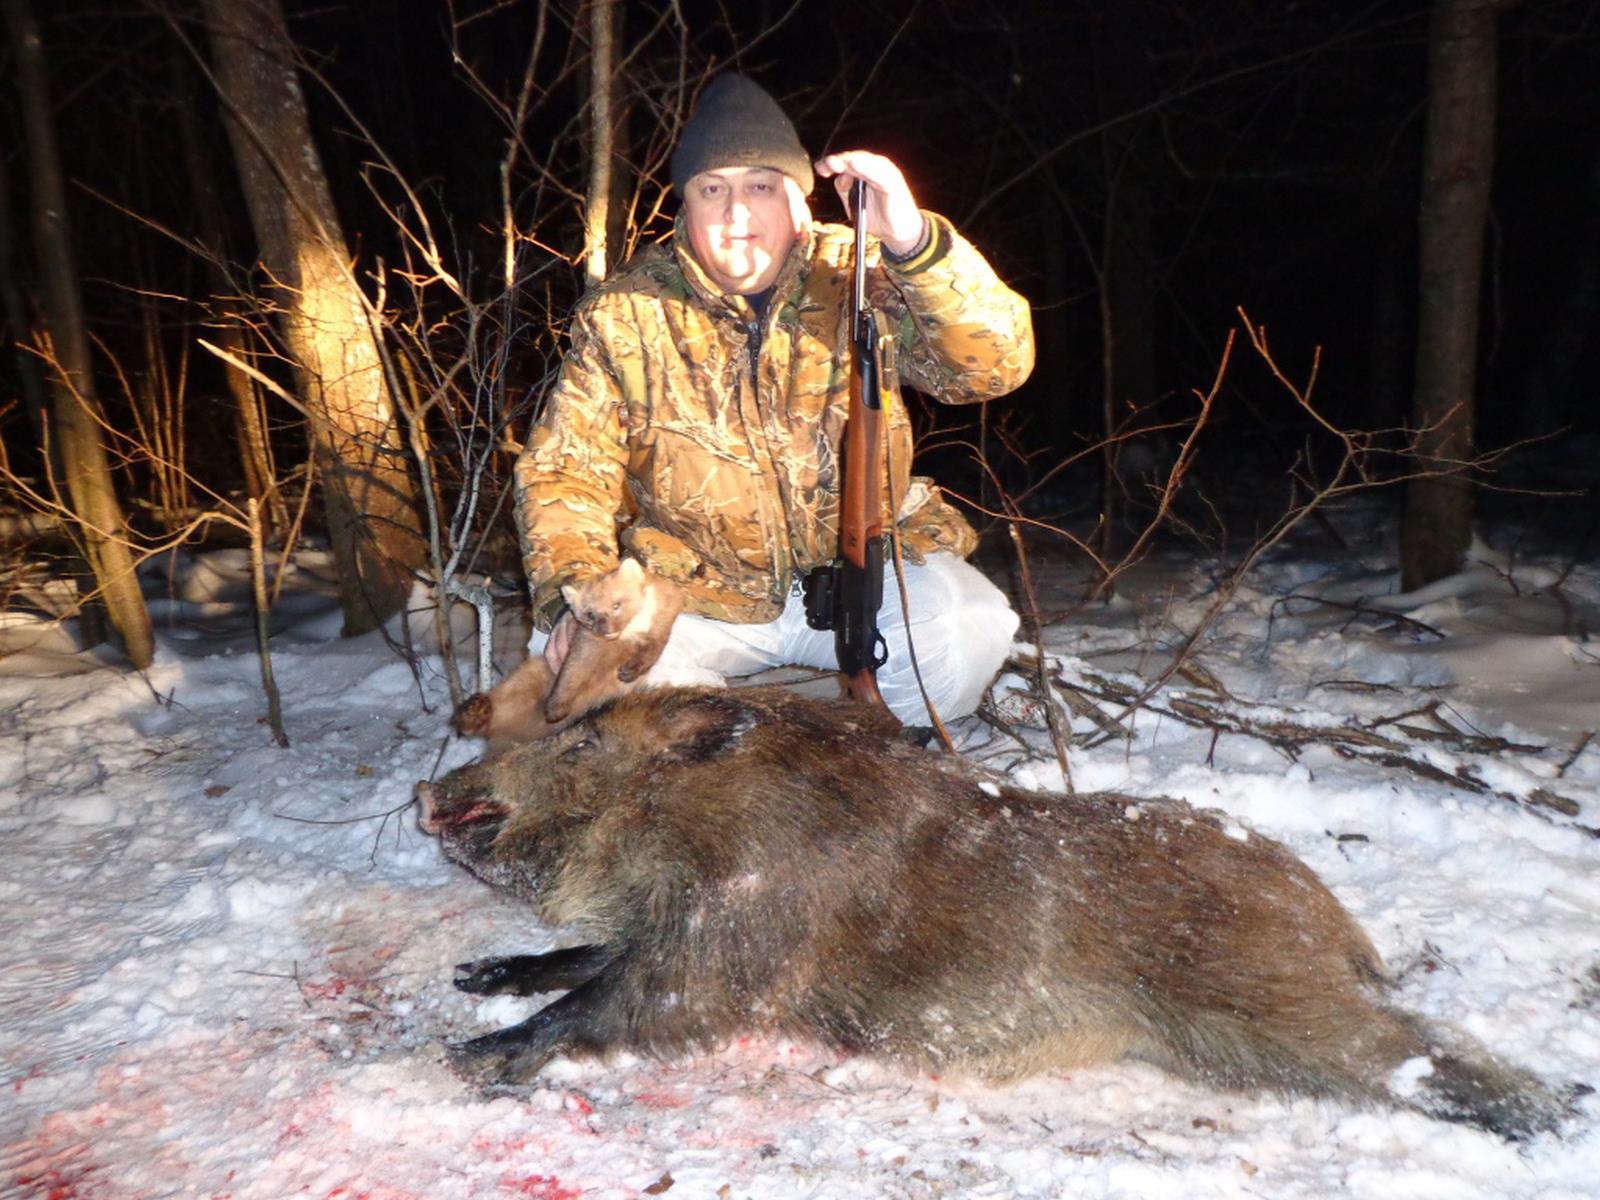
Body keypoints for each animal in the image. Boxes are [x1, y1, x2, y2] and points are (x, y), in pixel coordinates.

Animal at [417, 685, 1565, 1139]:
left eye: (582, 742)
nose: (431, 788)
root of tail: (1339, 924)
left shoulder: (737, 949)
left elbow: (613, 998)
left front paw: (460, 1060)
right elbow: (578, 956)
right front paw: (476, 981)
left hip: (1287, 1006)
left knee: (1426, 1056)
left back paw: (1549, 1116)